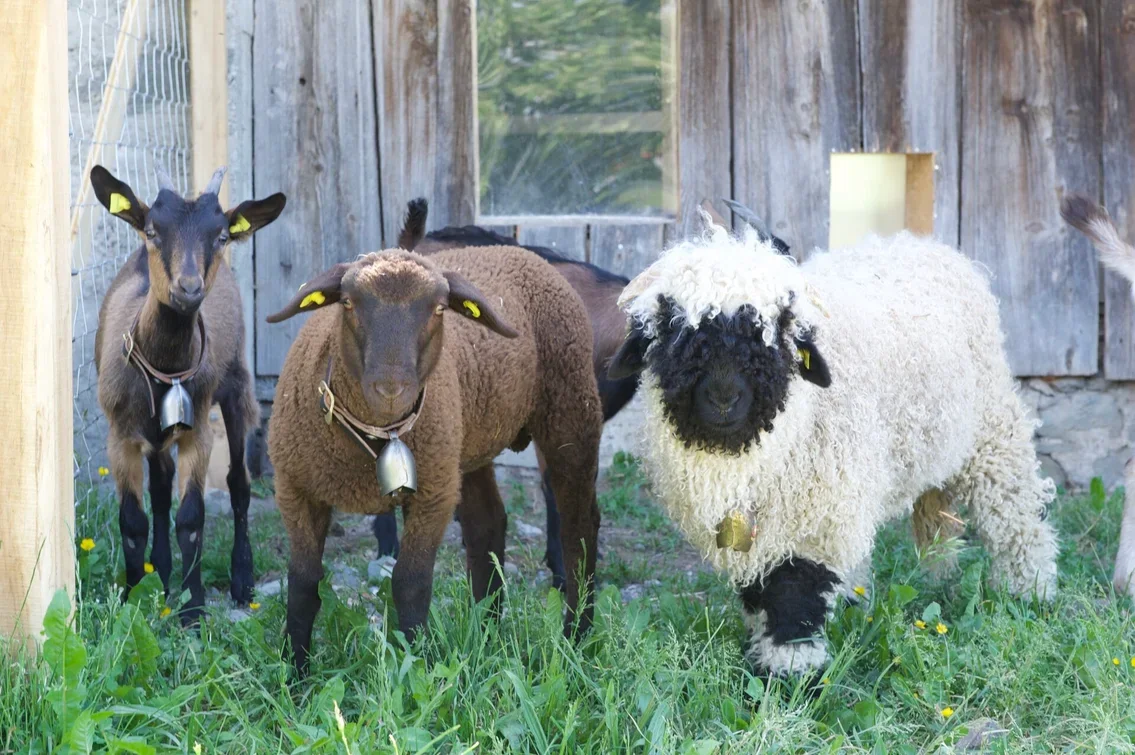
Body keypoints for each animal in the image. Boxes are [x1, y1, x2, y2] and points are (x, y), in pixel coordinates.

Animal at [90, 165, 286, 621]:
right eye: (151, 230)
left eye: (221, 236)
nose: (189, 289)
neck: (163, 370)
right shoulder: (120, 435)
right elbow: (134, 520)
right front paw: (133, 597)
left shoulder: (197, 430)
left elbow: (192, 519)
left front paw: (193, 610)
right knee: (161, 490)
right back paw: (160, 574)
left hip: (236, 387)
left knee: (238, 484)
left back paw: (241, 579)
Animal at [265, 242, 603, 672]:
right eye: (348, 303)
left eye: (440, 309)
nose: (391, 388)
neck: (379, 434)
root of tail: (516, 249)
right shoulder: (296, 489)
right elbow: (304, 582)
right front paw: (295, 673)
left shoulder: (432, 496)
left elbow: (410, 581)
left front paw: (415, 668)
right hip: (463, 444)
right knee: (487, 524)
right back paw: (486, 631)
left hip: (570, 413)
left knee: (579, 530)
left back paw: (577, 636)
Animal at [607, 214, 1058, 677]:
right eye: (673, 328)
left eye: (776, 330)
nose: (723, 398)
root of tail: (925, 245)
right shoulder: (763, 536)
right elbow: (759, 595)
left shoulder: (817, 521)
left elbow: (794, 600)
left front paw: (790, 679)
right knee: (937, 521)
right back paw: (930, 580)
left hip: (993, 432)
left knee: (1016, 515)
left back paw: (1030, 594)